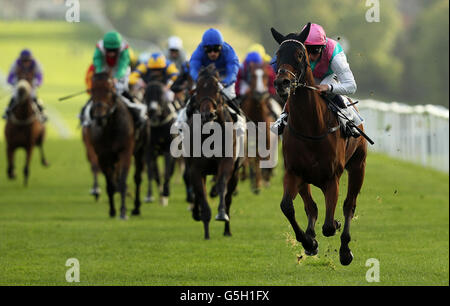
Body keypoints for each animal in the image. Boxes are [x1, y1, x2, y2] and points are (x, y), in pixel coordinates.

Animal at [85, 72, 147, 219]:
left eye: (109, 90)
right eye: (92, 90)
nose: (99, 117)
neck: (109, 127)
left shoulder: (125, 152)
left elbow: (123, 181)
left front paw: (123, 211)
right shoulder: (102, 155)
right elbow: (110, 183)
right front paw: (112, 210)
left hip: (141, 151)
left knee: (137, 178)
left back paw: (136, 208)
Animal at [185, 65, 244, 240]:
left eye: (217, 90)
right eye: (197, 89)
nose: (208, 114)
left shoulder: (227, 162)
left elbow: (221, 184)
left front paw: (222, 214)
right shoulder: (196, 169)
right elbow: (201, 195)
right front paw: (206, 231)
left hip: (236, 174)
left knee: (229, 196)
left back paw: (227, 230)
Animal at [239, 62, 278, 194]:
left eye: (265, 75)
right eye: (252, 75)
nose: (260, 94)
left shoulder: (266, 138)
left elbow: (262, 156)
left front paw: (260, 182)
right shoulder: (248, 139)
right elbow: (251, 157)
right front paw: (255, 183)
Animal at [268, 23, 368, 266]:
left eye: (299, 54)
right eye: (277, 55)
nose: (282, 83)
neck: (310, 128)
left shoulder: (332, 178)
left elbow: (330, 225)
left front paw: (335, 234)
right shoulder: (293, 172)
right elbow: (288, 207)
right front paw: (309, 242)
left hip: (358, 166)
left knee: (349, 205)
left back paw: (345, 250)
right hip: (305, 179)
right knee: (311, 207)